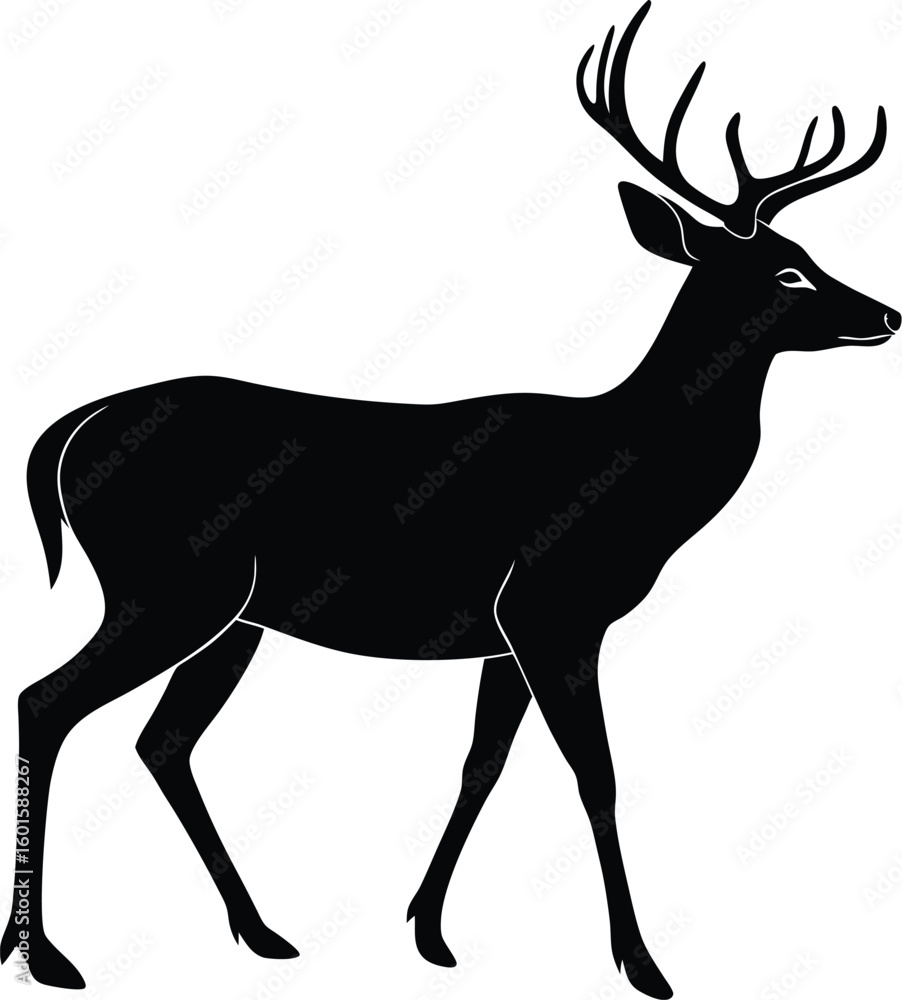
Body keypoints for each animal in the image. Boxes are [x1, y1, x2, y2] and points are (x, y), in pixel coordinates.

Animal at [1, 2, 896, 996]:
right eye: (787, 271)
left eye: (811, 253)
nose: (886, 315)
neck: (636, 475)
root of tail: (72, 427)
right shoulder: (553, 607)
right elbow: (595, 773)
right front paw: (642, 963)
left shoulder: (505, 633)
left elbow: (482, 763)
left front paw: (429, 931)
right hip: (166, 585)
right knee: (46, 700)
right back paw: (45, 953)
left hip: (231, 613)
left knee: (162, 741)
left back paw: (261, 932)